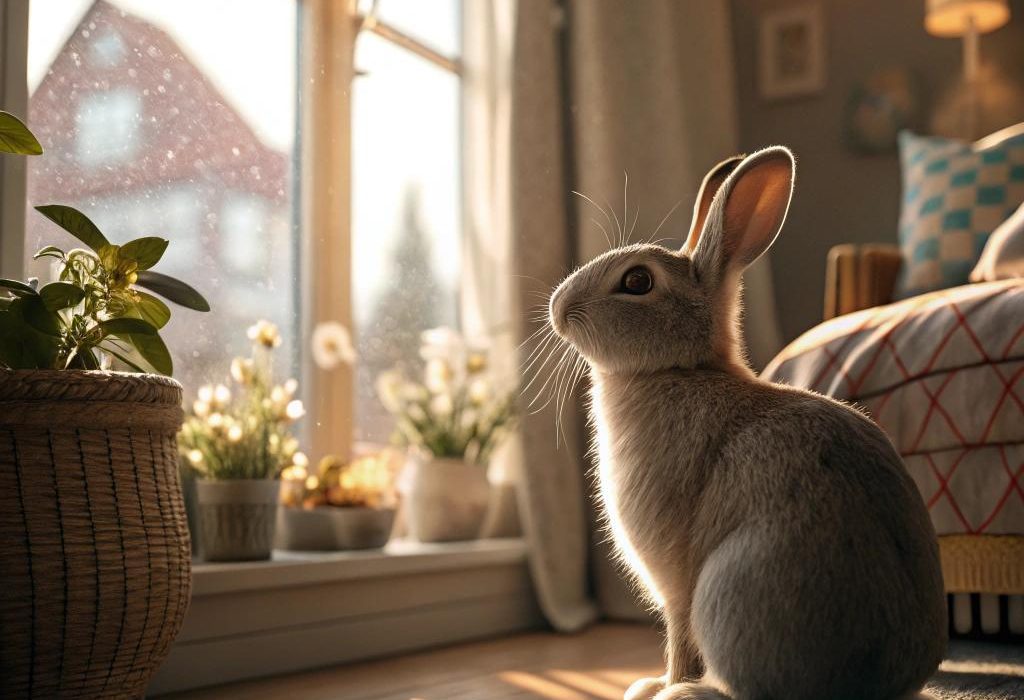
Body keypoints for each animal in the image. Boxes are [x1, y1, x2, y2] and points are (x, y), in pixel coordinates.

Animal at [547, 146, 947, 700]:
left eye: (637, 282)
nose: (557, 308)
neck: (681, 367)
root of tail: (874, 684)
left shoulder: (677, 580)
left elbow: (678, 637)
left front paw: (657, 686)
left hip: (729, 592)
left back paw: (688, 693)